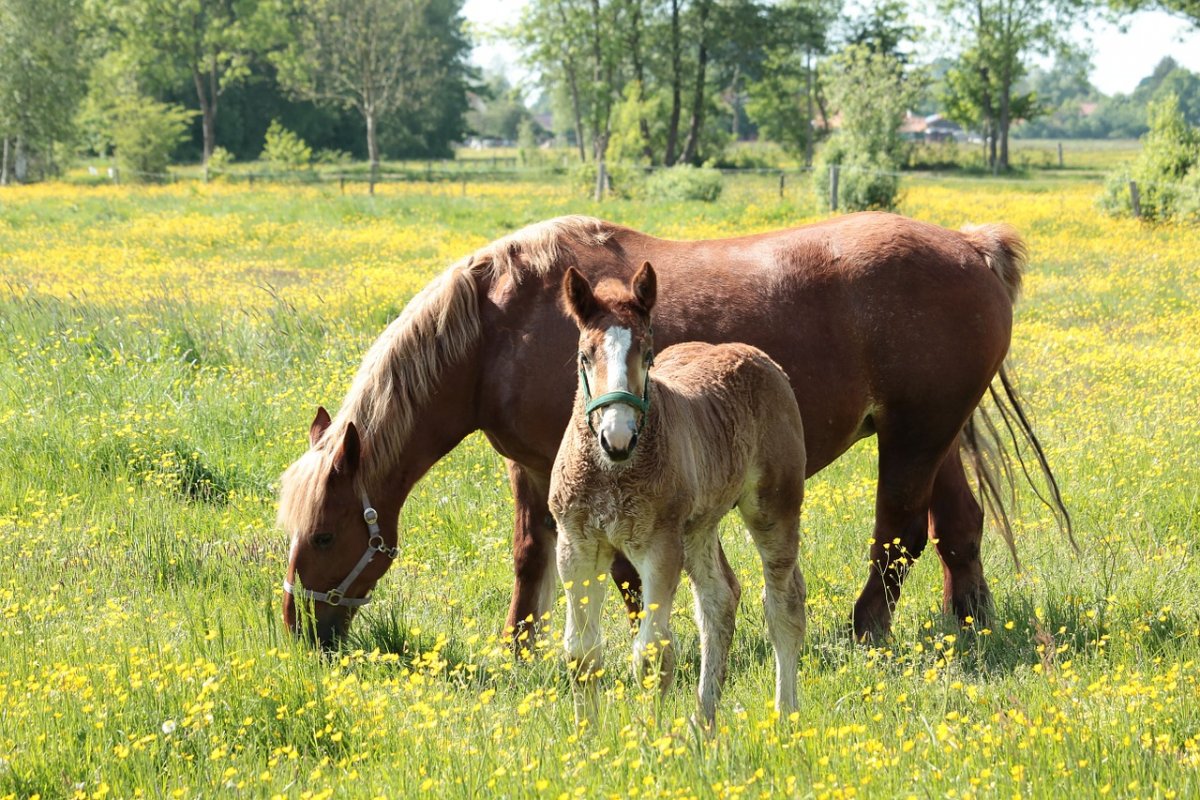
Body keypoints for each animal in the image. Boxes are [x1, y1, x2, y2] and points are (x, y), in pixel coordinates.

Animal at [276, 212, 1065, 652]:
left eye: (324, 535)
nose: (297, 628)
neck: (502, 327)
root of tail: (971, 245)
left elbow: (629, 573)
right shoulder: (532, 468)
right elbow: (531, 557)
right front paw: (520, 648)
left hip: (913, 439)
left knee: (896, 535)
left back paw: (865, 632)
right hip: (935, 436)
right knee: (957, 529)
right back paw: (972, 625)